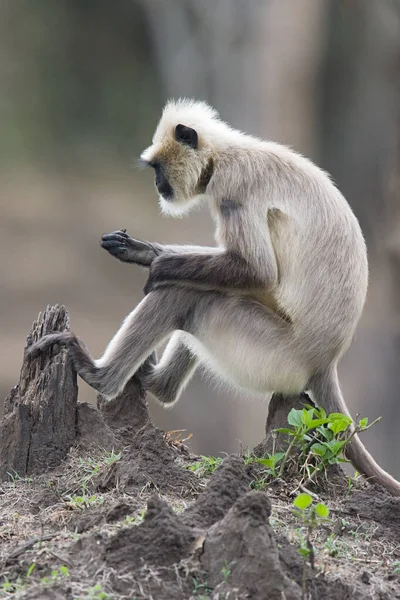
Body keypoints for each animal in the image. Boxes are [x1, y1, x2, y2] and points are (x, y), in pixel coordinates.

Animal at [29, 98, 400, 494]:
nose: (158, 184)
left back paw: (101, 374)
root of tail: (326, 361)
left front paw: (158, 265)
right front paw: (143, 251)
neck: (225, 153)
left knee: (185, 295)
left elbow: (257, 272)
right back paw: (152, 380)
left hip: (270, 352)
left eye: (157, 168)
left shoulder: (233, 185)